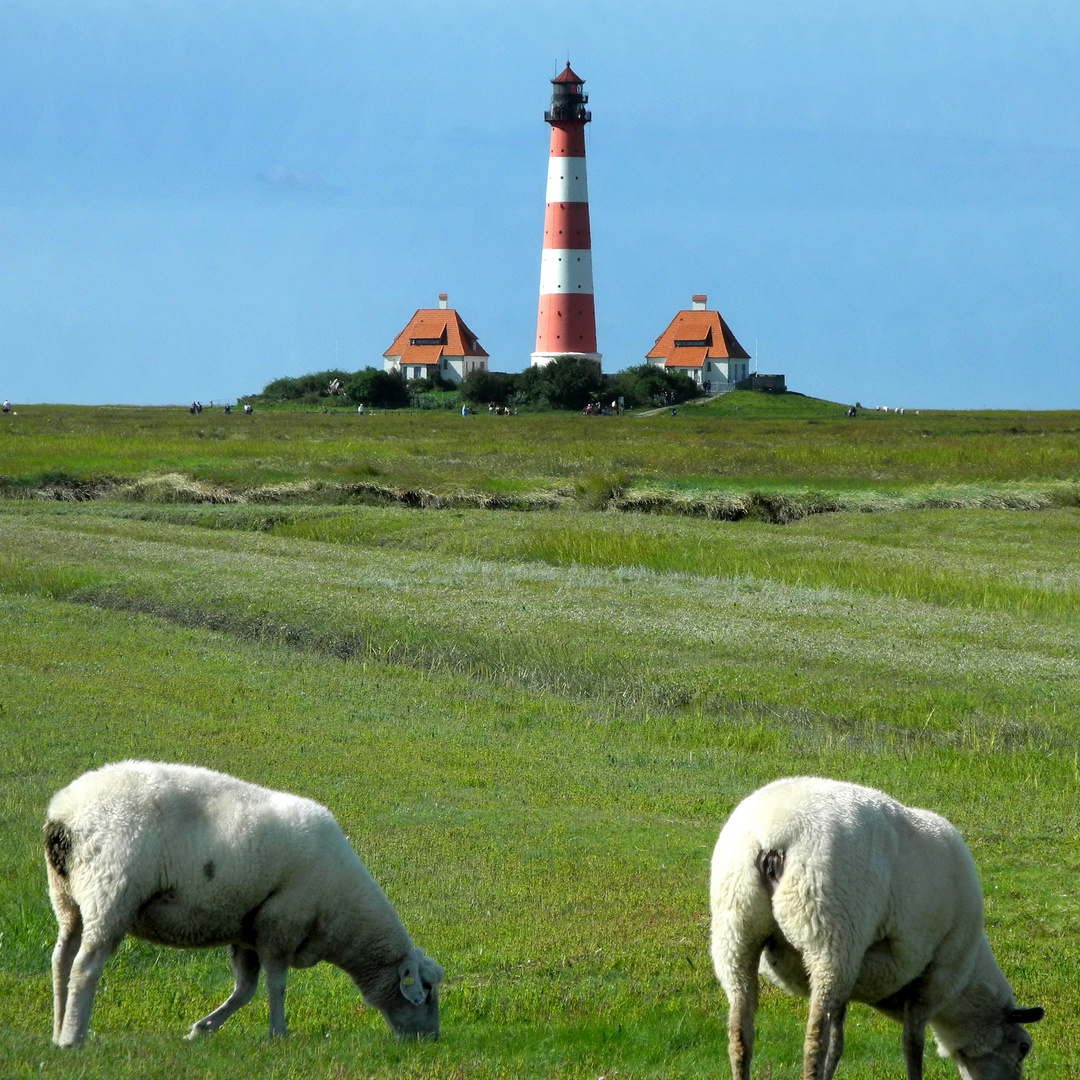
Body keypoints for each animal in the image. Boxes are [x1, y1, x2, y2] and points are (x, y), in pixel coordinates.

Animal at [43, 760, 442, 1045]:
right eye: (426, 989)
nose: (431, 1041)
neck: (343, 913)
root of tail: (64, 816)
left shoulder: (248, 930)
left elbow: (244, 990)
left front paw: (202, 1029)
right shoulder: (281, 924)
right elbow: (276, 985)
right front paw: (279, 1034)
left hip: (67, 897)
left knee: (62, 960)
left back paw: (58, 1032)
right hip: (111, 892)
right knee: (86, 966)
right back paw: (74, 1038)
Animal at [712, 781, 1041, 1080]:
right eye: (1023, 1047)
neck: (966, 984)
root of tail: (774, 837)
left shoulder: (853, 983)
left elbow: (839, 1042)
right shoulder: (933, 979)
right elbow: (912, 1045)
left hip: (736, 930)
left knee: (740, 1034)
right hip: (830, 939)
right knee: (814, 1040)